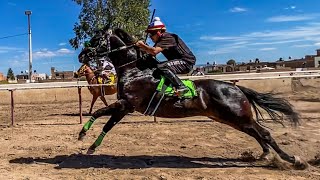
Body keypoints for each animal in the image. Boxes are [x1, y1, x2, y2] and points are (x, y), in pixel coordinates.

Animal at [77, 28, 308, 169]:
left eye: (96, 40)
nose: (81, 55)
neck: (135, 70)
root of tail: (236, 88)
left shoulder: (127, 104)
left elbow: (101, 114)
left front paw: (83, 135)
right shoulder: (125, 107)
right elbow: (105, 121)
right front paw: (88, 141)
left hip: (237, 116)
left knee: (265, 133)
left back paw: (293, 160)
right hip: (230, 118)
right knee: (258, 133)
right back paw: (266, 155)